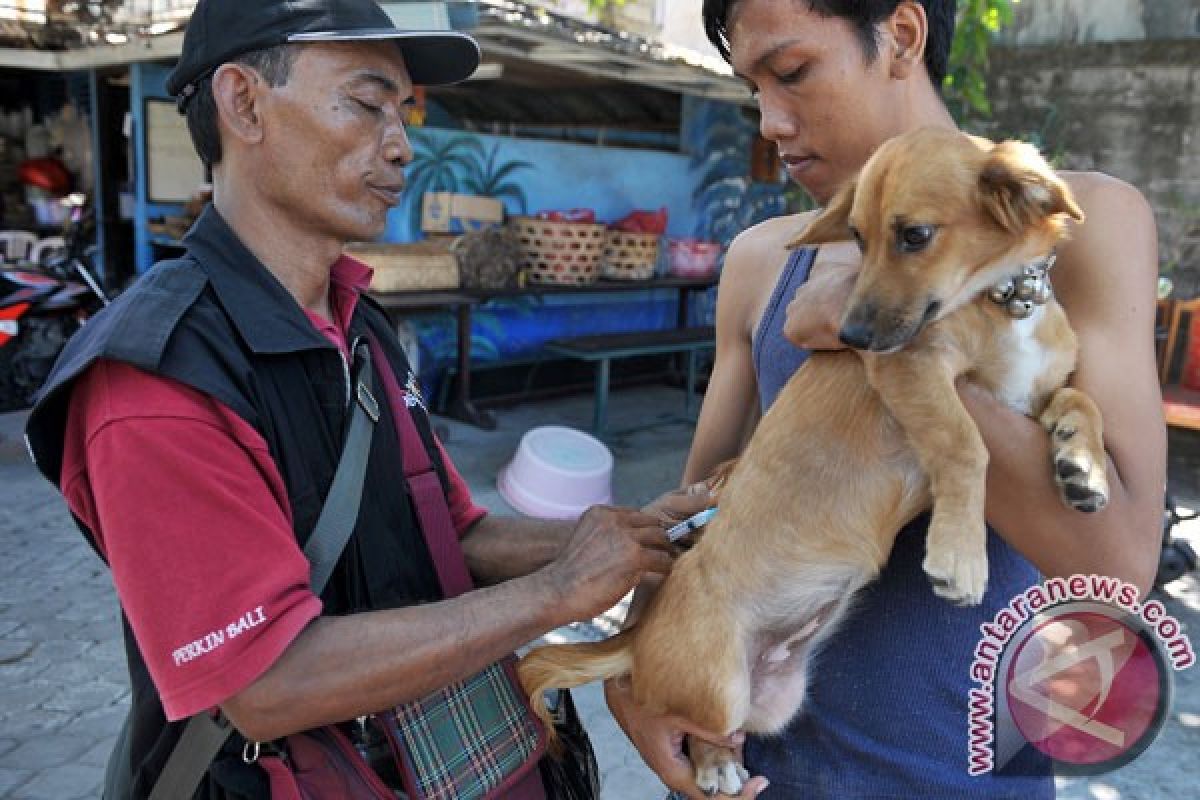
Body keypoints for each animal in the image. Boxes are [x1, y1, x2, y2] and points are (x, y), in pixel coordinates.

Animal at [520, 128, 1108, 796]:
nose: (849, 336)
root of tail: (636, 634)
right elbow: (965, 443)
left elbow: (1080, 402)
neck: (1005, 305)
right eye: (857, 237)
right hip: (719, 686)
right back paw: (714, 766)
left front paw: (1084, 467)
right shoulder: (912, 367)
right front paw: (960, 552)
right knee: (686, 721)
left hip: (776, 696)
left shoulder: (1030, 395)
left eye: (914, 235)